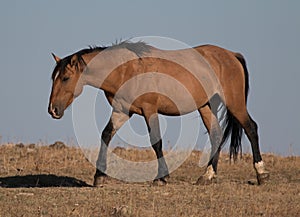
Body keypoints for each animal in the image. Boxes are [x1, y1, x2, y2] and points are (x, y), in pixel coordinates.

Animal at [48, 41, 270, 186]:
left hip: (235, 103)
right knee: (216, 135)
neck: (127, 70)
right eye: (54, 78)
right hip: (206, 106)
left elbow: (156, 142)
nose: (52, 110)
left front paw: (161, 177)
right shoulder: (122, 111)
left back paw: (261, 174)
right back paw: (207, 176)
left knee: (251, 128)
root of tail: (231, 54)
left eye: (66, 78)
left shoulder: (149, 110)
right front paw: (99, 176)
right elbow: (106, 135)